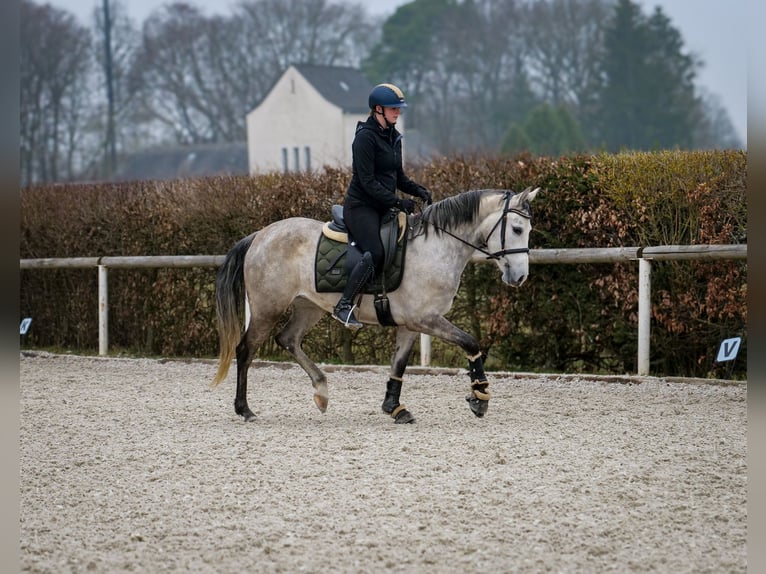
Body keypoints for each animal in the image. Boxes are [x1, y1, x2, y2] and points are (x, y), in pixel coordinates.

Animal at [210, 187, 540, 426]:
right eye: (517, 229)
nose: (520, 277)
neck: (437, 248)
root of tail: (260, 235)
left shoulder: (411, 324)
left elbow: (399, 364)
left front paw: (394, 407)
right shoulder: (427, 319)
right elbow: (471, 343)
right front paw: (480, 397)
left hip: (308, 306)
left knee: (288, 339)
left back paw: (321, 391)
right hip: (268, 309)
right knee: (246, 350)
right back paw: (245, 409)